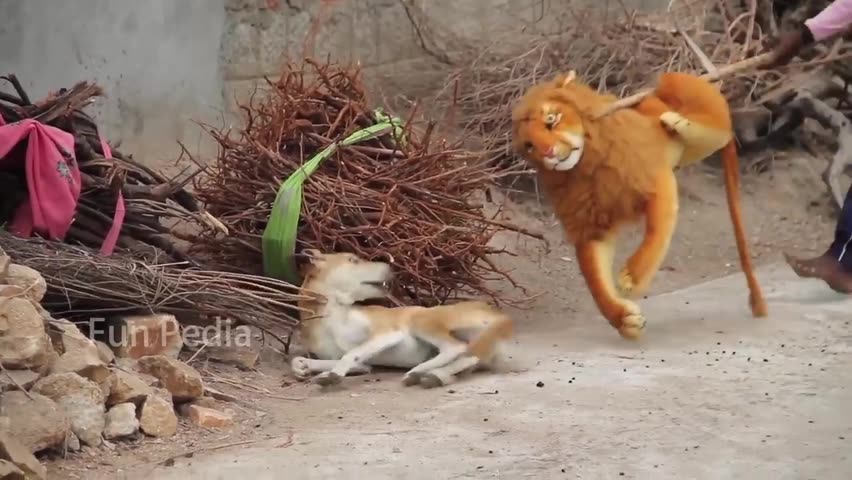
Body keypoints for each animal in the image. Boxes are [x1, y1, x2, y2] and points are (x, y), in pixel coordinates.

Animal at [288, 250, 514, 388]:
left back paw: (419, 371)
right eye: (353, 260)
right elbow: (307, 360)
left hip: (420, 319)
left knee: (456, 347)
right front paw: (306, 367)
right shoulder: (362, 364)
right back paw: (435, 375)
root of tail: (499, 314)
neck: (331, 314)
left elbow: (351, 353)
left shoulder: (388, 333)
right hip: (476, 345)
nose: (391, 267)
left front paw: (331, 375)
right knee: (467, 357)